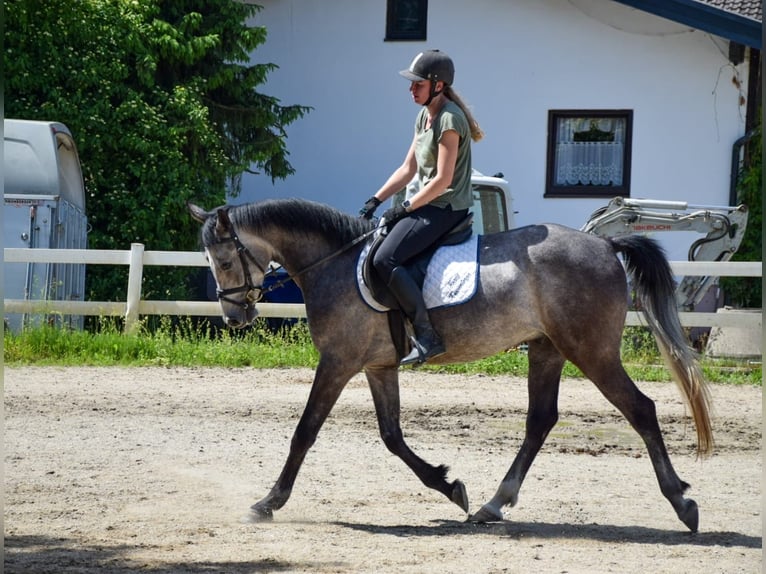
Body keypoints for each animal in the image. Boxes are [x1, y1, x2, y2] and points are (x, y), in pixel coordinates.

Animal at [188, 198, 712, 532]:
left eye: (224, 261)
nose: (234, 317)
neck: (332, 264)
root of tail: (604, 245)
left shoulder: (337, 362)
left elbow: (305, 431)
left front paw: (267, 503)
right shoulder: (378, 367)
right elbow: (392, 436)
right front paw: (449, 486)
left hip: (591, 351)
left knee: (640, 409)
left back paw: (683, 503)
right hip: (547, 350)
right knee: (540, 420)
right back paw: (492, 506)